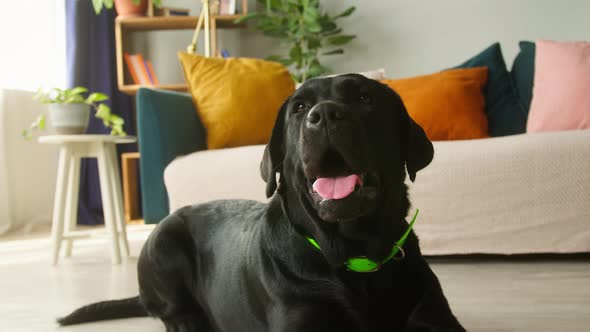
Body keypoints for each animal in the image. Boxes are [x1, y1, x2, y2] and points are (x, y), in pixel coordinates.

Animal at [60, 74, 468, 330]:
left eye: (365, 98)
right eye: (299, 109)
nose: (324, 114)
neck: (354, 255)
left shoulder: (435, 316)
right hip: (165, 242)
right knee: (169, 310)